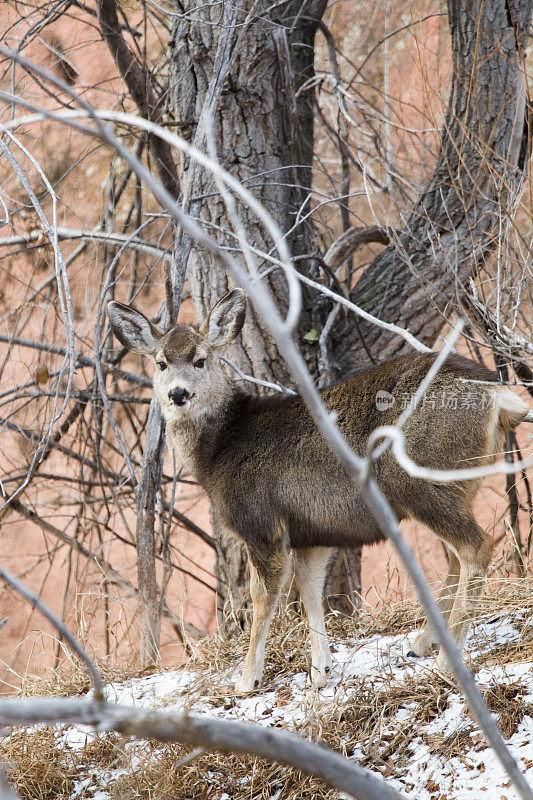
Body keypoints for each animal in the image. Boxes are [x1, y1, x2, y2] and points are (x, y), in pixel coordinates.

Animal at [109, 290, 532, 692]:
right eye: (160, 363)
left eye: (200, 360)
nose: (178, 394)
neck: (220, 449)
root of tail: (497, 395)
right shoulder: (311, 531)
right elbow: (311, 591)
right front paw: (320, 671)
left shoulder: (261, 522)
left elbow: (264, 597)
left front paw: (248, 679)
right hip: (455, 483)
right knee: (456, 554)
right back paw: (423, 643)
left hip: (418, 477)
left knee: (475, 547)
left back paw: (445, 661)